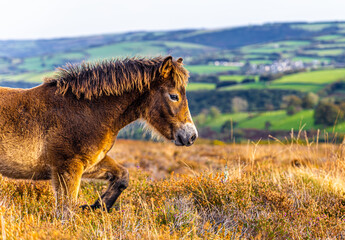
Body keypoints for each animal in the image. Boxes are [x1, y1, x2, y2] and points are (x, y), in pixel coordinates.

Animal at [0, 56, 196, 218]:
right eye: (173, 96)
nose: (191, 136)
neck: (87, 111)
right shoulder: (68, 168)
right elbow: (66, 211)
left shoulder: (90, 163)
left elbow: (122, 177)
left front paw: (95, 207)